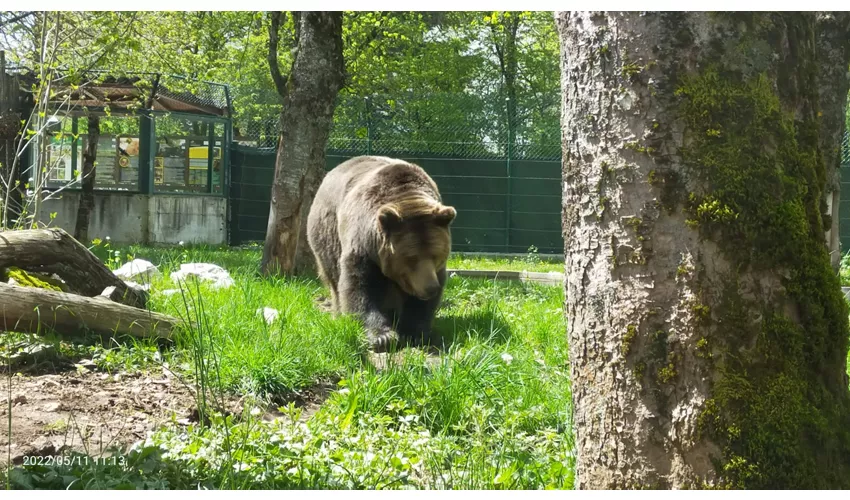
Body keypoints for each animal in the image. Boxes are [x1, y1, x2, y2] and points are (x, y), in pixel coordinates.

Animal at [306, 156, 454, 352]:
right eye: (411, 258)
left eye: (437, 255)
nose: (430, 288)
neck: (406, 197)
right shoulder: (364, 245)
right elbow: (360, 288)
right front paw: (383, 337)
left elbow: (422, 305)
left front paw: (415, 333)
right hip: (327, 237)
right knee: (334, 278)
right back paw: (338, 313)